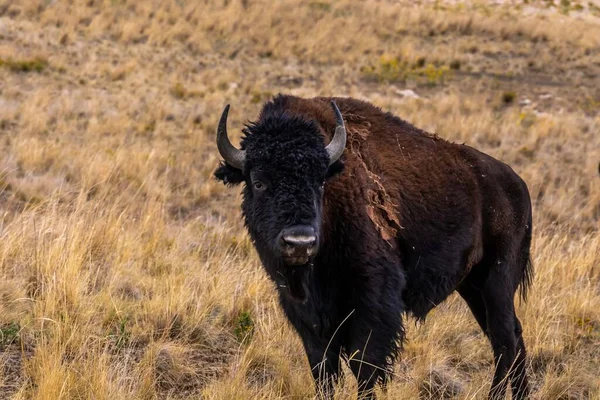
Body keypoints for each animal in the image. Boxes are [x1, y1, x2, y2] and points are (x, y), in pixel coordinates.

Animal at [213, 95, 532, 398]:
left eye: (320, 182)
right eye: (258, 182)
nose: (299, 242)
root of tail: (518, 184)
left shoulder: (373, 300)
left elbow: (364, 365)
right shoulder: (307, 315)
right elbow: (323, 371)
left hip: (497, 282)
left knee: (504, 339)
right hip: (472, 286)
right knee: (513, 336)